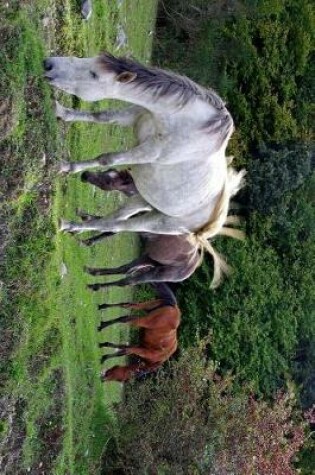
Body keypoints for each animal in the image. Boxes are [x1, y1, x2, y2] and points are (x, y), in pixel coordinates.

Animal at [44, 54, 247, 288]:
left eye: (93, 75)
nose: (49, 64)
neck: (185, 122)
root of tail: (210, 228)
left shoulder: (150, 152)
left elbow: (106, 158)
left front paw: (67, 167)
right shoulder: (133, 115)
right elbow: (101, 116)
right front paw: (61, 111)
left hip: (158, 223)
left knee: (118, 226)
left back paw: (67, 224)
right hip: (142, 200)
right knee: (112, 220)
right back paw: (79, 226)